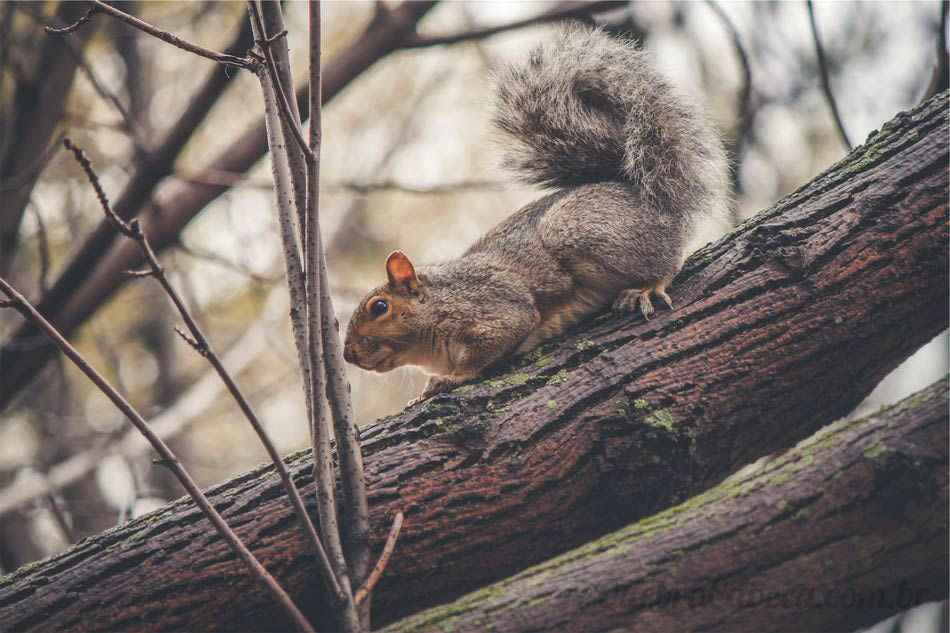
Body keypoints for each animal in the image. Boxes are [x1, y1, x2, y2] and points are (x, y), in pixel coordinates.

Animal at [346, 25, 732, 404]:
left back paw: (648, 288)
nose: (348, 355)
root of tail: (648, 200)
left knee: (669, 261)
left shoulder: (494, 308)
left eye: (379, 307)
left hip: (580, 232)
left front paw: (449, 379)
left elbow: (492, 345)